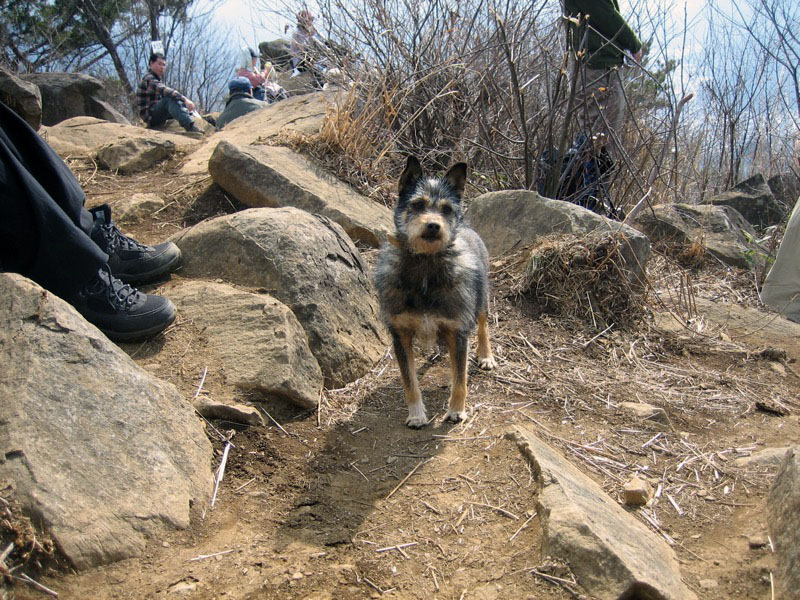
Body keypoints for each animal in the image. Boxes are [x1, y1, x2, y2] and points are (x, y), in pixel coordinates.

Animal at [374, 155, 494, 426]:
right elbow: (409, 382)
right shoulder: (400, 335)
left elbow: (460, 380)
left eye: (447, 209)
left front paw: (457, 410)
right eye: (418, 204)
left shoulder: (458, 332)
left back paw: (485, 355)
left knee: (483, 326)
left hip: (482, 300)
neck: (425, 267)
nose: (433, 226)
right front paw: (416, 414)